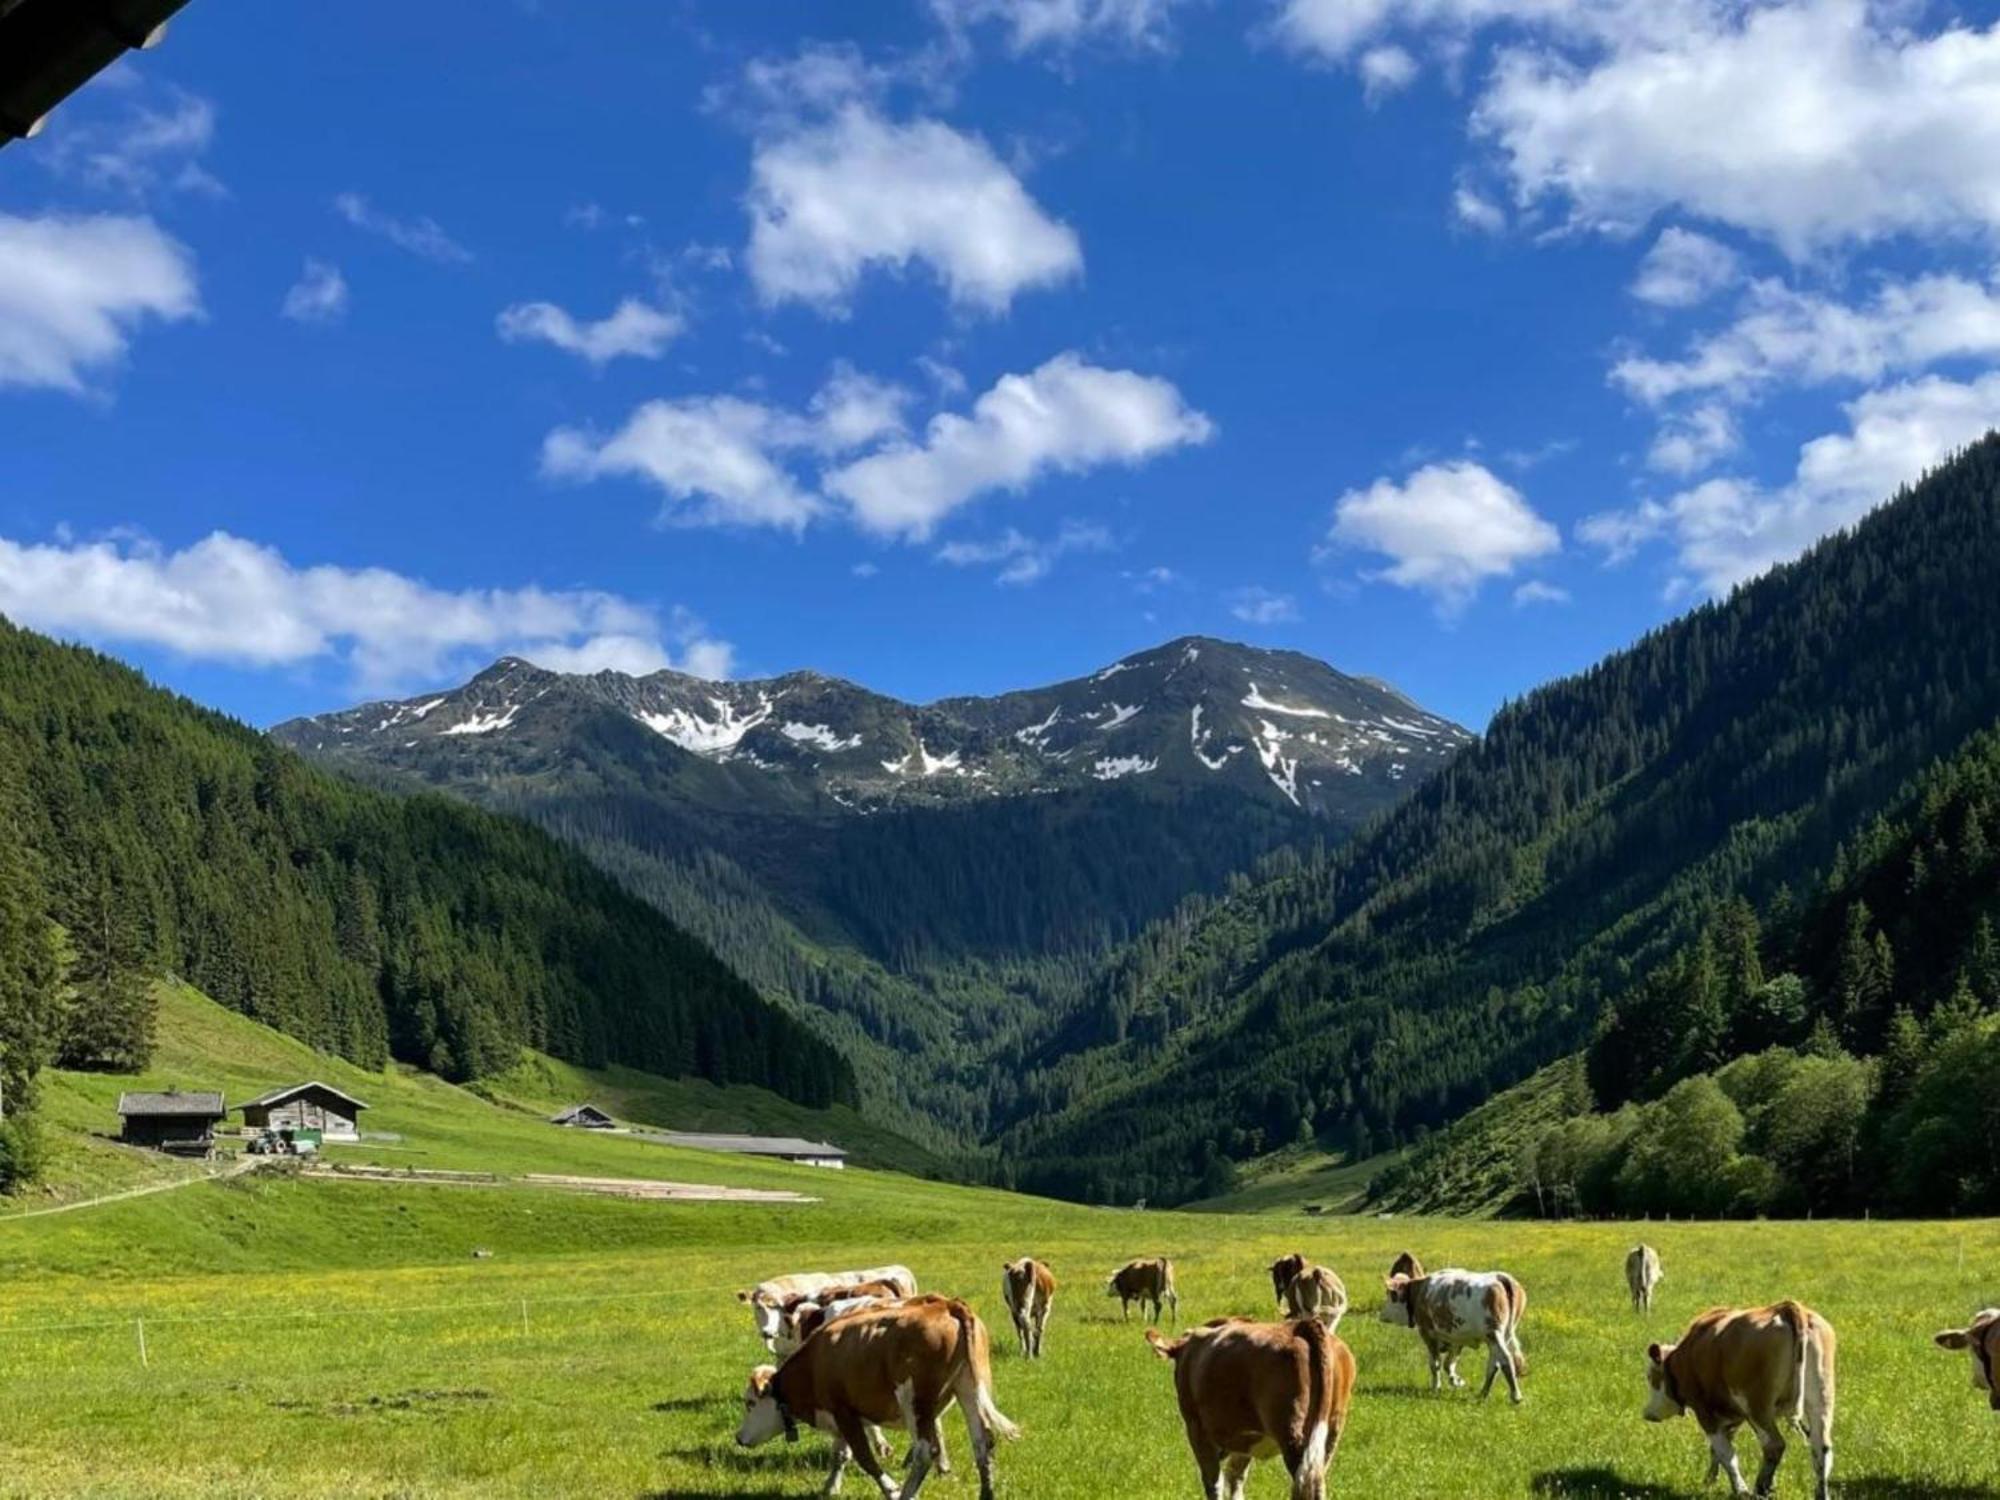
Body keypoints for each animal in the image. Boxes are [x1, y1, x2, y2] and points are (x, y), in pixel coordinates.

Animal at [736, 1296, 1016, 1496]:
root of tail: (947, 1306)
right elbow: (840, 1454)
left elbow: (865, 1458)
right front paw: (830, 1487)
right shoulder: (841, 1417)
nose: (738, 1438)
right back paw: (986, 1493)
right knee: (983, 1444)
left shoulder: (845, 1412)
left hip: (915, 1403)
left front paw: (890, 1489)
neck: (815, 1363)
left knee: (926, 1451)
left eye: (750, 1403)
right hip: (969, 1389)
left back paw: (907, 1493)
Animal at [1144, 1320, 1360, 1496]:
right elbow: (1235, 1478)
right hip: (1330, 1432)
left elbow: (1214, 1483)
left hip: (1292, 1432)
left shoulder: (1197, 1430)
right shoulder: (1244, 1442)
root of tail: (1300, 1326)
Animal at [1384, 1272, 1520, 1408]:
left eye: (1391, 1295)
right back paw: (1482, 1394)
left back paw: (1515, 1396)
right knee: (1494, 1364)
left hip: (1494, 1334)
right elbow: (1449, 1363)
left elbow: (1435, 1363)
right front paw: (1456, 1381)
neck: (1419, 1291)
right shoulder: (1456, 1339)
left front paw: (1436, 1387)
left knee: (1505, 1359)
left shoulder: (1427, 1333)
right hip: (1498, 1338)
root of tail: (1499, 1277)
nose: (1382, 1315)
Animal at [1640, 1296, 1840, 1496]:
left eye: (1650, 1377)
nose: (1647, 1413)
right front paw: (1710, 1480)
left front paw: (1739, 1489)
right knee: (1821, 1448)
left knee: (1774, 1445)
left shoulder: (1705, 1412)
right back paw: (1820, 1492)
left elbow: (1725, 1453)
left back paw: (1760, 1488)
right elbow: (1718, 1449)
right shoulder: (1733, 1415)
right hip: (1820, 1401)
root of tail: (1786, 1307)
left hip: (1758, 1408)